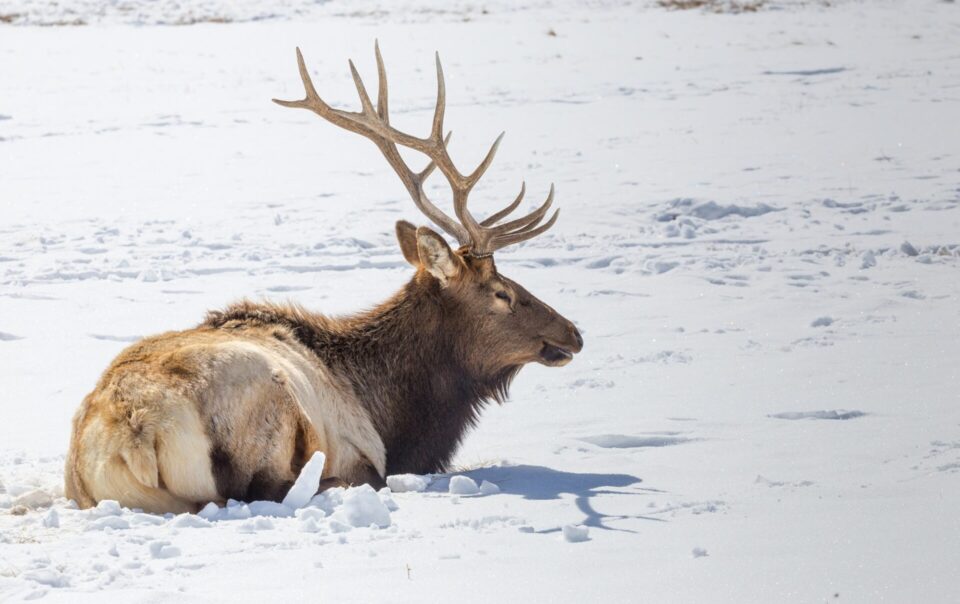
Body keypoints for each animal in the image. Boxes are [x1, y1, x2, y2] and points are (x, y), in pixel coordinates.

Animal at [64, 43, 583, 514]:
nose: (574, 333)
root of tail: (135, 435)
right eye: (502, 293)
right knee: (276, 488)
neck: (393, 410)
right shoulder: (361, 444)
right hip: (271, 401)